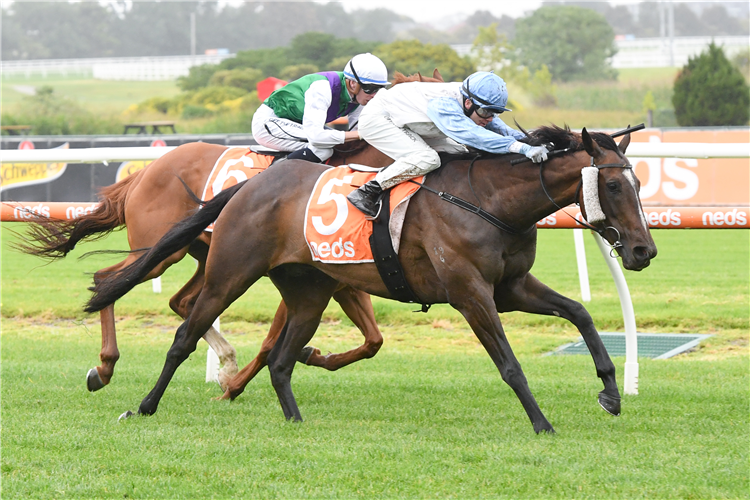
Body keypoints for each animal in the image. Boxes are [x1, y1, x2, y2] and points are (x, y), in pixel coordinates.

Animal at [19, 69, 446, 390]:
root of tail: (147, 170)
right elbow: (274, 340)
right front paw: (236, 385)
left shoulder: (341, 278)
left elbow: (374, 340)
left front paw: (301, 358)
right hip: (159, 250)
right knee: (107, 279)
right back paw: (105, 367)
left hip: (206, 253)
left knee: (181, 301)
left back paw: (222, 361)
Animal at [83, 126, 656, 434]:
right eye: (612, 184)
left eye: (637, 183)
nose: (643, 250)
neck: (490, 201)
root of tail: (247, 187)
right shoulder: (470, 293)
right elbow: (510, 364)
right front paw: (542, 422)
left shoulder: (509, 287)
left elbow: (579, 313)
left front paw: (610, 392)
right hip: (229, 269)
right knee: (181, 329)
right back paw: (141, 400)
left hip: (308, 290)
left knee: (281, 359)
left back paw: (293, 417)